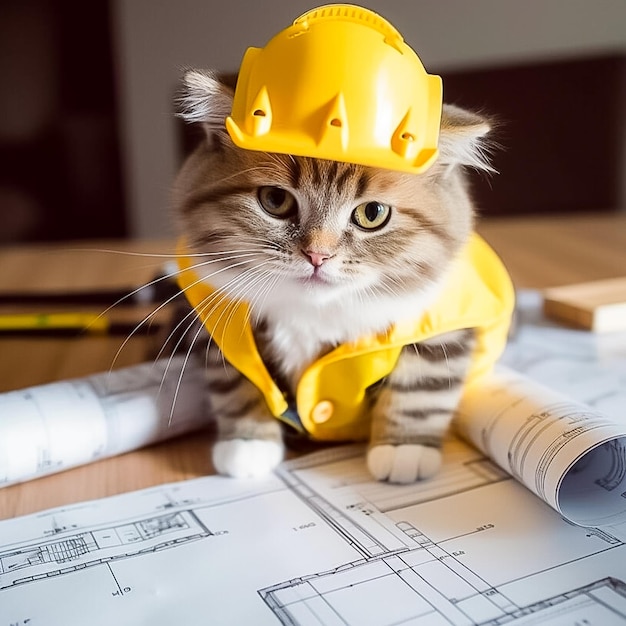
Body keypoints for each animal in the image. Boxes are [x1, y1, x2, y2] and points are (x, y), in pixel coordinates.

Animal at [169, 68, 508, 480]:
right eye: (275, 201)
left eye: (372, 214)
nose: (317, 255)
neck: (313, 313)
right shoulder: (218, 324)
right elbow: (239, 384)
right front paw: (247, 445)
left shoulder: (443, 329)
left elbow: (420, 391)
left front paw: (403, 451)